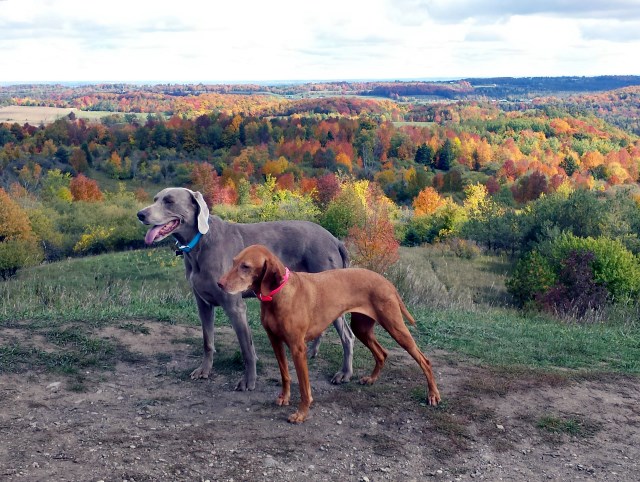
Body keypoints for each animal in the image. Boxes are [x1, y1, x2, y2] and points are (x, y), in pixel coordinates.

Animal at [138, 186, 356, 390]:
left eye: (169, 201)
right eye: (155, 199)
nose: (140, 214)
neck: (200, 243)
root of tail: (335, 240)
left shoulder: (235, 307)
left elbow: (246, 349)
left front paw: (248, 381)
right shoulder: (203, 304)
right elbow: (207, 341)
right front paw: (204, 370)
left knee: (348, 336)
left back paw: (344, 373)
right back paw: (313, 352)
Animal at [219, 245, 440, 422]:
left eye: (246, 266)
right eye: (233, 262)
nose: (219, 284)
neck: (279, 294)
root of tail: (387, 281)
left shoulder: (298, 348)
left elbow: (304, 388)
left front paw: (301, 414)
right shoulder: (275, 341)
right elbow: (285, 374)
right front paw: (284, 397)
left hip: (396, 328)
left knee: (424, 360)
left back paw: (433, 394)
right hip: (362, 329)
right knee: (382, 353)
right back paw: (371, 379)